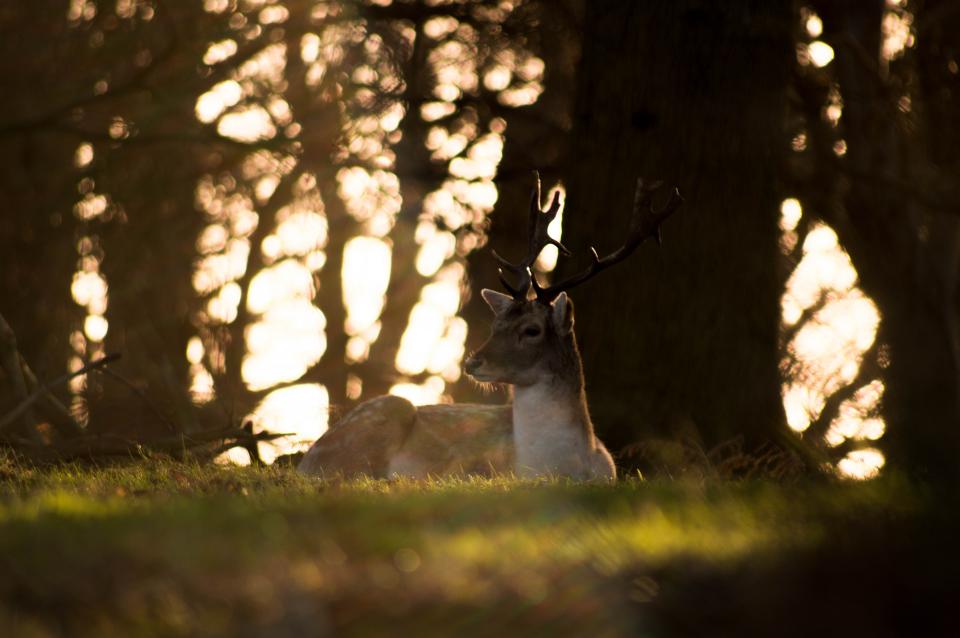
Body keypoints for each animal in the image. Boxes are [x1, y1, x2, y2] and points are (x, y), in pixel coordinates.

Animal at [296, 172, 680, 482]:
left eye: (531, 330)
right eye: (496, 323)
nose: (472, 361)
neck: (557, 468)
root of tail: (305, 460)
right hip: (383, 414)